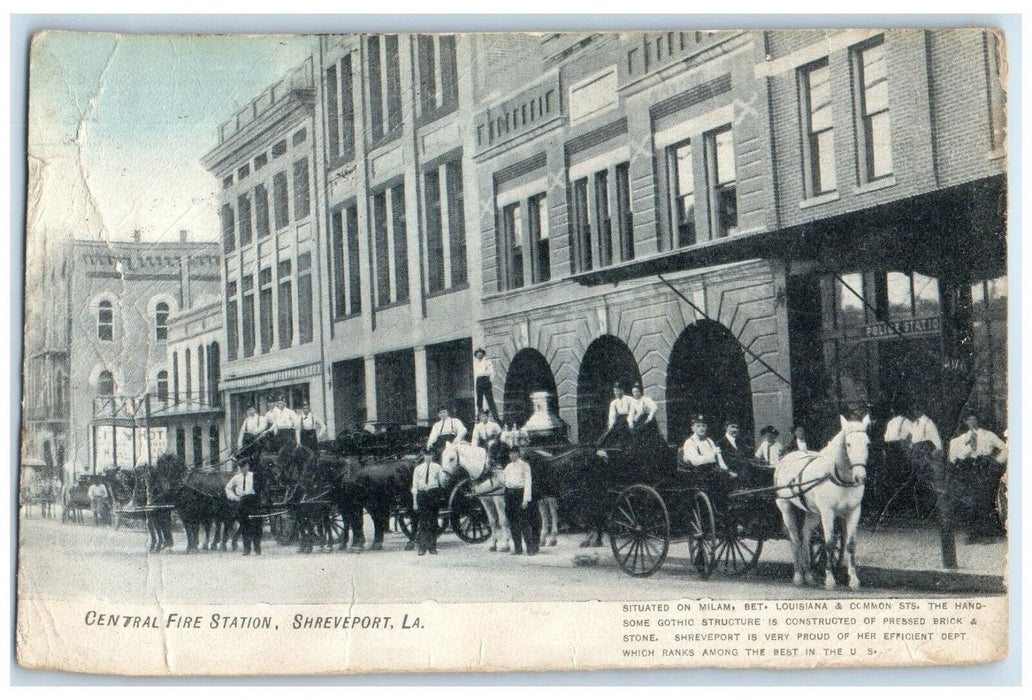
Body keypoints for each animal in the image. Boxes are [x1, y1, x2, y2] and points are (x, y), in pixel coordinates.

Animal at [776, 417, 871, 590]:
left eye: (867, 444)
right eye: (848, 444)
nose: (860, 477)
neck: (837, 477)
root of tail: (785, 458)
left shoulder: (854, 511)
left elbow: (850, 544)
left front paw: (854, 580)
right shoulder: (828, 512)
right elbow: (829, 543)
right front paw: (830, 579)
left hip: (812, 513)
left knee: (806, 536)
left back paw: (809, 575)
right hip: (786, 507)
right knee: (795, 539)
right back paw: (798, 576)